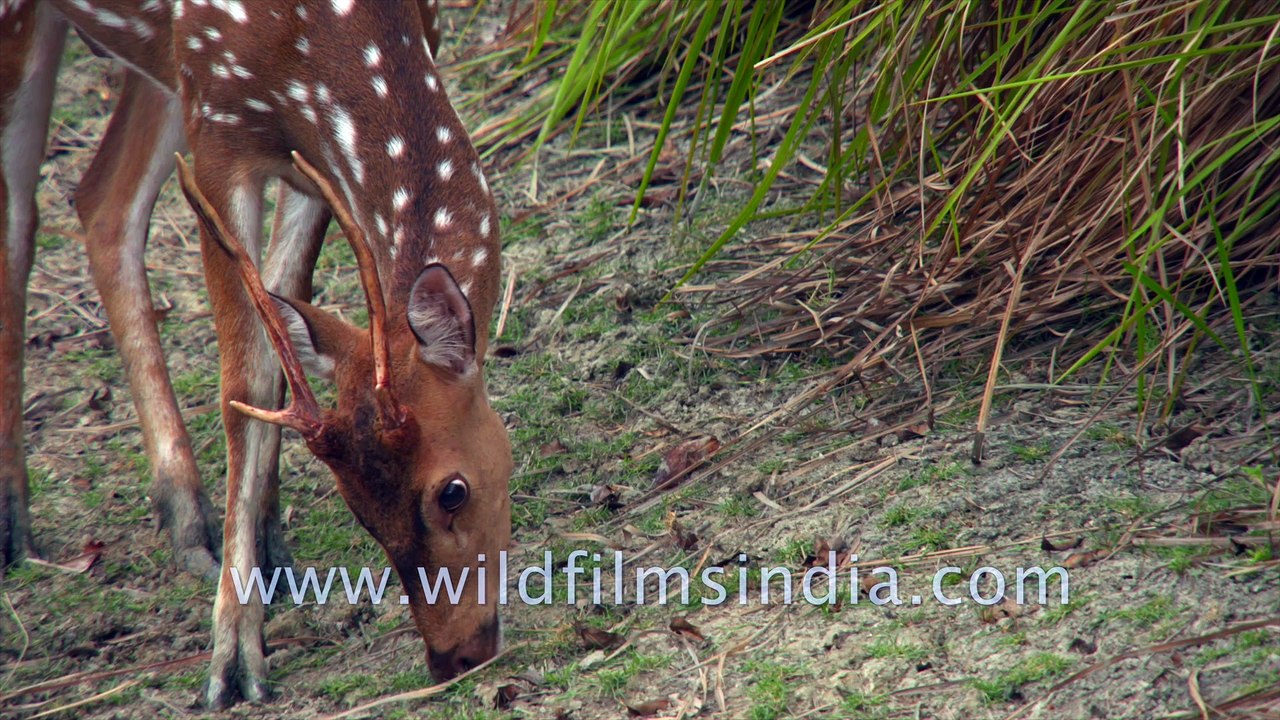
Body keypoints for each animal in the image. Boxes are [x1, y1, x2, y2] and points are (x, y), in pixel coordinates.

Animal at [0, 0, 512, 708]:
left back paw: (187, 520)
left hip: (158, 64)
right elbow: (242, 381)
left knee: (103, 200)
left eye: (451, 492)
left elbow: (281, 326)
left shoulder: (302, 144)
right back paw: (13, 521)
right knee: (20, 215)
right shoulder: (217, 128)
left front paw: (269, 543)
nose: (456, 656)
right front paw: (234, 658)